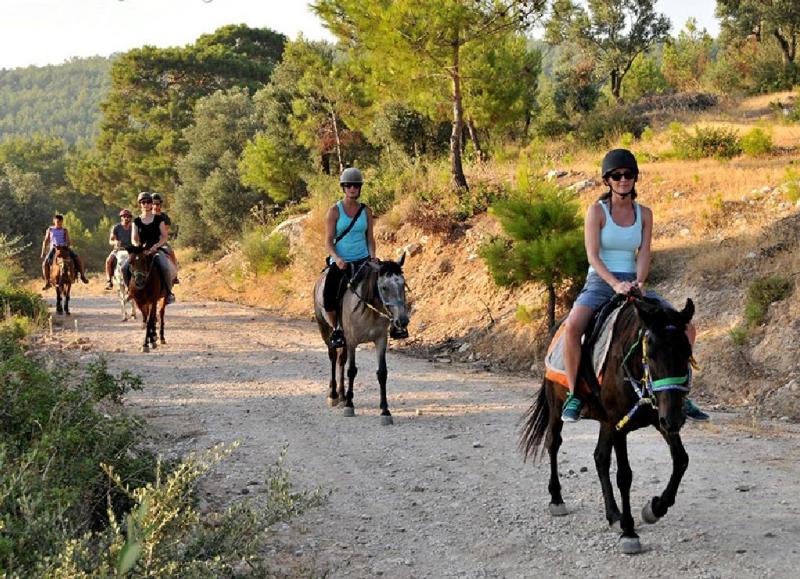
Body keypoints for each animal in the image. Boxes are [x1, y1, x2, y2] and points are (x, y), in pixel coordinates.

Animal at [312, 254, 412, 426]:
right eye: (384, 287)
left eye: (403, 285)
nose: (402, 321)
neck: (368, 308)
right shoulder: (352, 341)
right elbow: (352, 371)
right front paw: (349, 406)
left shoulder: (380, 340)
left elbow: (382, 373)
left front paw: (385, 411)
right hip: (325, 329)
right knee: (333, 357)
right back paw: (333, 395)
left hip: (343, 339)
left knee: (341, 360)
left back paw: (342, 394)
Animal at [520, 296, 696, 556]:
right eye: (651, 351)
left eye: (687, 351)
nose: (675, 418)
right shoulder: (619, 425)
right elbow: (624, 475)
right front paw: (629, 533)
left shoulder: (657, 419)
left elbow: (681, 460)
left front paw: (654, 508)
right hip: (557, 406)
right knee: (553, 443)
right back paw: (557, 499)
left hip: (606, 422)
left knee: (600, 457)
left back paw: (614, 515)